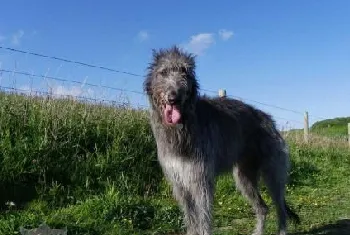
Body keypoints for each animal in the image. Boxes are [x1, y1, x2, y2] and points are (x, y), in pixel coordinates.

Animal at [144, 46, 300, 235]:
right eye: (163, 72)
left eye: (184, 72)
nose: (174, 98)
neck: (181, 128)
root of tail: (269, 119)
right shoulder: (180, 183)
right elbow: (191, 219)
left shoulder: (200, 180)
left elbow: (203, 220)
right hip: (244, 177)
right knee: (263, 208)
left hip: (273, 172)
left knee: (280, 207)